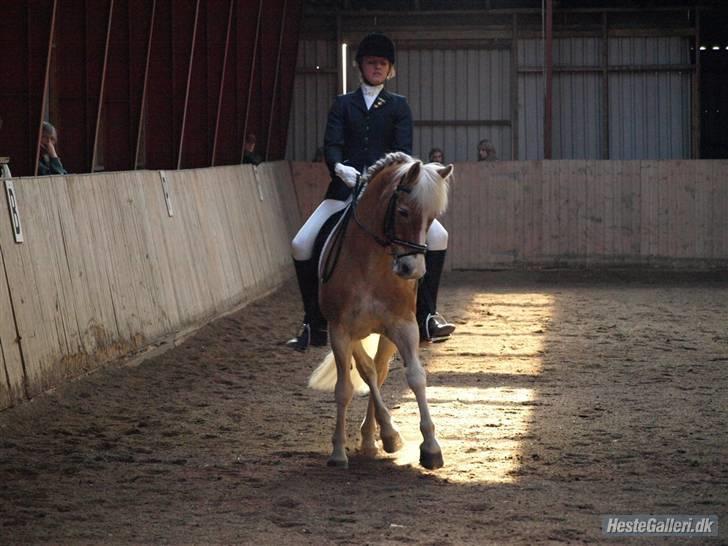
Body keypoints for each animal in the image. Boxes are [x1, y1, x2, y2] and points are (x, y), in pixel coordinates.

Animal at [308, 152, 456, 468]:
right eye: (402, 212)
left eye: (432, 218)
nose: (413, 270)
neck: (370, 263)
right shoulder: (340, 331)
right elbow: (344, 389)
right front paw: (337, 453)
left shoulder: (403, 326)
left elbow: (415, 377)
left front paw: (431, 448)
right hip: (352, 335)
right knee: (368, 371)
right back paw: (382, 434)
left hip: (386, 335)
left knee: (379, 369)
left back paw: (379, 436)